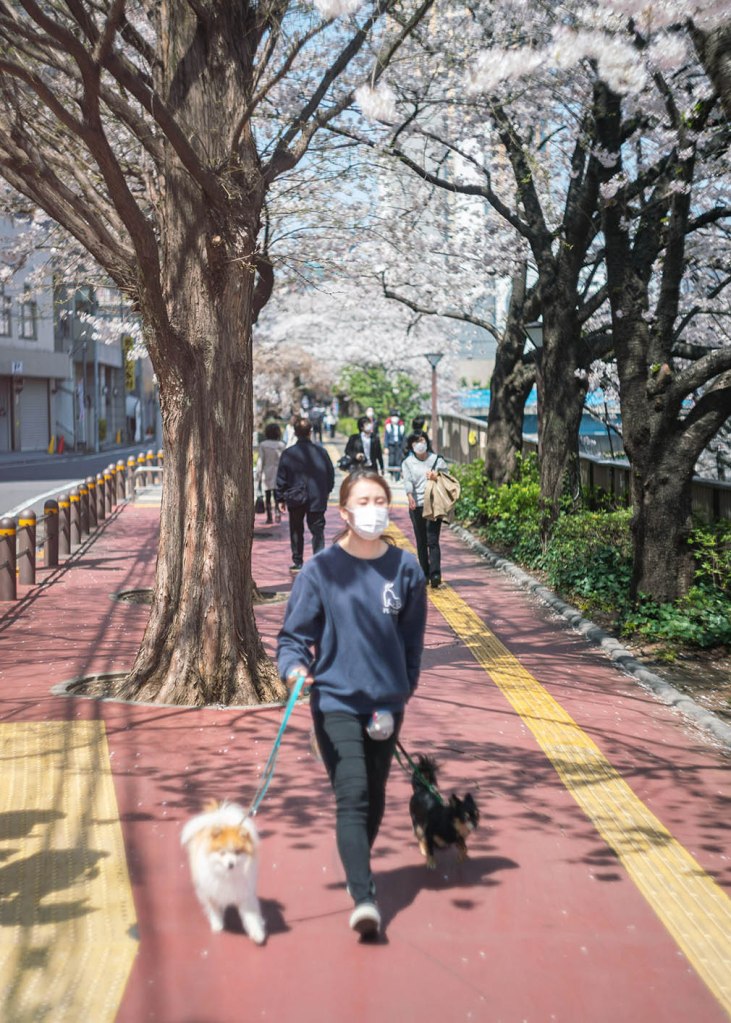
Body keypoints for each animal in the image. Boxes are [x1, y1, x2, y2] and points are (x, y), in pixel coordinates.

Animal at [181, 800, 266, 944]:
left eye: (237, 852)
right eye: (223, 853)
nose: (231, 864)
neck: (227, 875)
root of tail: (220, 817)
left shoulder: (244, 894)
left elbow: (251, 916)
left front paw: (257, 933)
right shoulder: (211, 891)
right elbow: (214, 909)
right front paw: (217, 925)